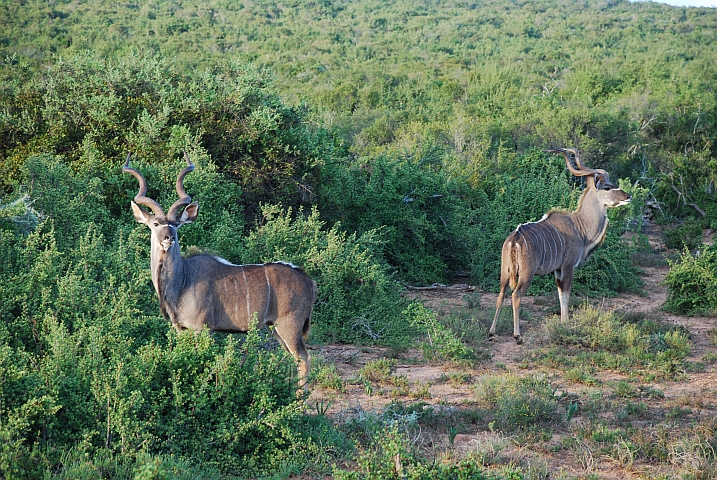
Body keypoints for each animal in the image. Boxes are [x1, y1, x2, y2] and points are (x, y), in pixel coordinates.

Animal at [124, 154, 316, 386]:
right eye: (155, 224)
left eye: (176, 224)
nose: (169, 238)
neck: (183, 280)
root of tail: (308, 281)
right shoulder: (181, 330)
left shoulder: (204, 328)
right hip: (275, 328)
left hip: (289, 326)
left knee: (303, 358)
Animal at [486, 148, 632, 344]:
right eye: (608, 187)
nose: (628, 196)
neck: (580, 226)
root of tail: (515, 238)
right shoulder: (568, 267)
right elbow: (566, 295)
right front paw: (566, 324)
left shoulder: (557, 270)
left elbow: (560, 294)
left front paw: (563, 322)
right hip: (526, 274)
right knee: (516, 295)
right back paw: (518, 335)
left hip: (504, 272)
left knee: (501, 294)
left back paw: (492, 331)